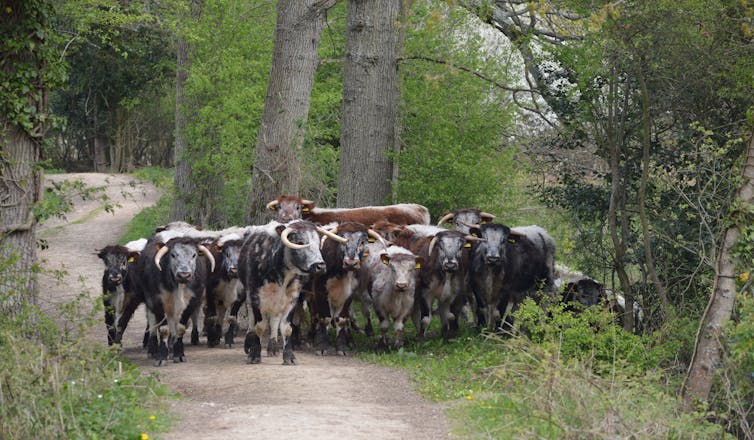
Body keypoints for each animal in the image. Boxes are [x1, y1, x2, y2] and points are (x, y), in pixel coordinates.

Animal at [137, 235, 213, 366]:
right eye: (173, 255)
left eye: (194, 255)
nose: (184, 275)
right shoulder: (158, 302)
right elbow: (163, 329)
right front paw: (161, 357)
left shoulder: (191, 303)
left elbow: (180, 328)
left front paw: (179, 354)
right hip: (151, 304)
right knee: (152, 325)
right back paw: (152, 350)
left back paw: (171, 348)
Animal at [236, 219, 346, 364]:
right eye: (299, 242)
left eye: (318, 243)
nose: (320, 266)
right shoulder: (256, 297)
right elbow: (259, 326)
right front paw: (254, 354)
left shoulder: (292, 298)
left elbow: (286, 328)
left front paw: (289, 356)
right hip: (249, 296)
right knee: (252, 321)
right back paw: (249, 343)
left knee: (274, 320)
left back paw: (273, 348)